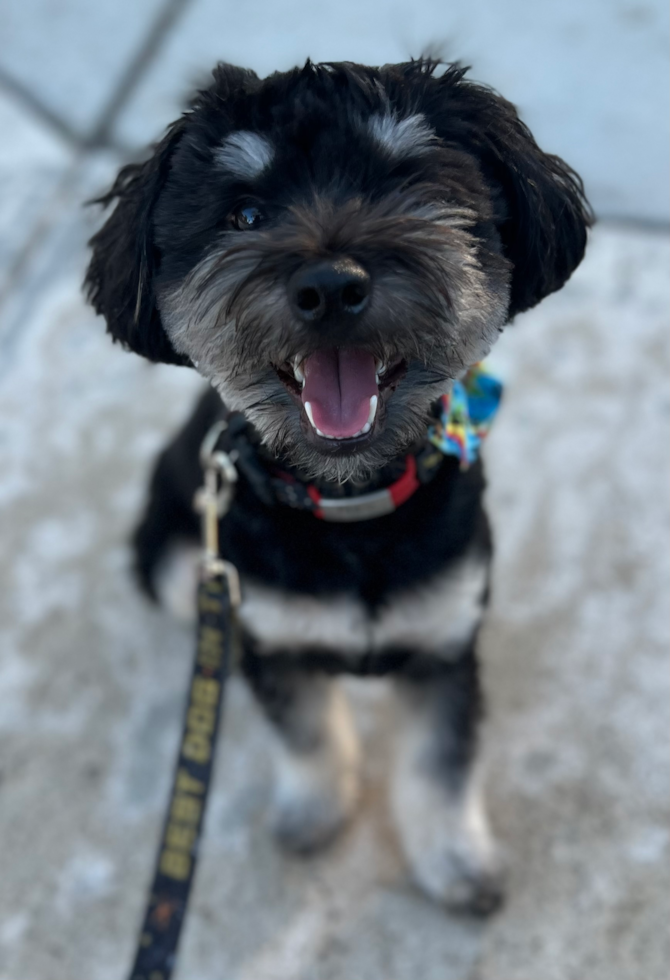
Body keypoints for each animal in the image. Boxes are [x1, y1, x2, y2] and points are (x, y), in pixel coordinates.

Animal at [85, 59, 592, 912]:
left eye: (408, 186)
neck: (350, 507)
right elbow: (311, 735)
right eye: (245, 212)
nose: (330, 284)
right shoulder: (274, 641)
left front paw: (455, 861)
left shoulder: (445, 647)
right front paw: (315, 813)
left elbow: (439, 766)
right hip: (173, 556)